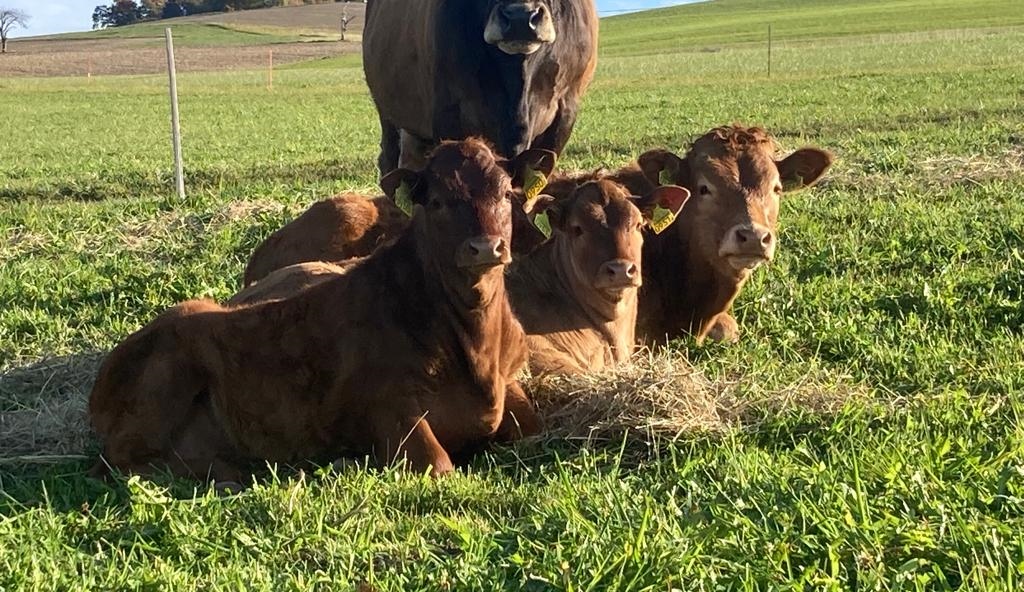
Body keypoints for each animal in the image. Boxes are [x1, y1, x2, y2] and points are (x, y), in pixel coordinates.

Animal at [91, 138, 536, 479]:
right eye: (438, 201)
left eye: (505, 194)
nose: (485, 247)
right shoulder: (389, 407)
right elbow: (439, 465)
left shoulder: (511, 380)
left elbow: (529, 423)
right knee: (125, 463)